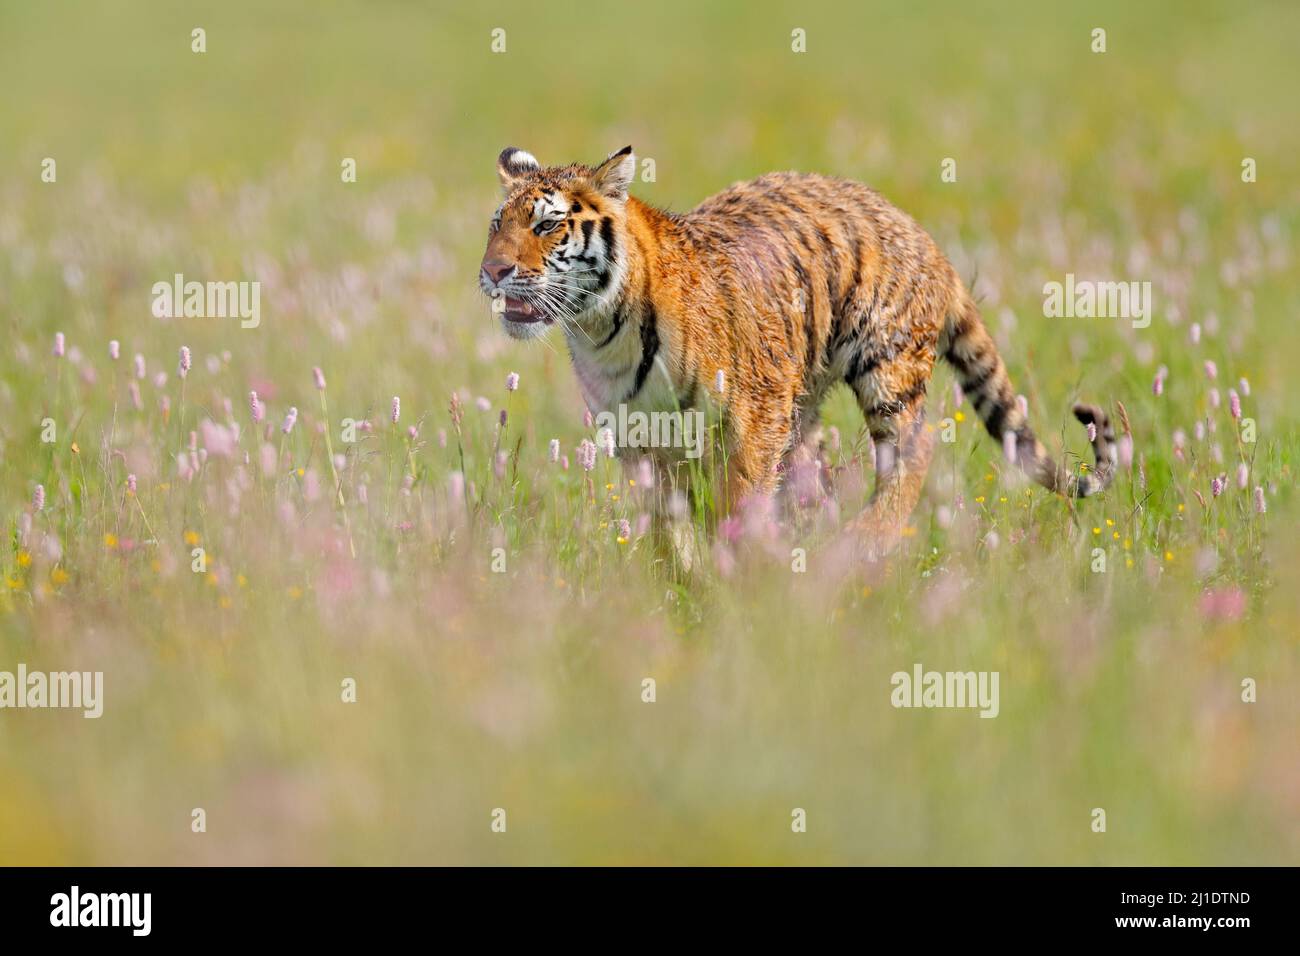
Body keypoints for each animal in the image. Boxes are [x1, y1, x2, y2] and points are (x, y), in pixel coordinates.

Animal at [478, 145, 1116, 554]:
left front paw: (734, 577)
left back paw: (865, 544)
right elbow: (666, 528)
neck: (603, 330)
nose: (492, 271)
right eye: (496, 224)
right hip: (802, 400)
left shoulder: (753, 417)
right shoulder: (639, 435)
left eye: (546, 226)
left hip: (885, 370)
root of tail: (922, 234)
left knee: (915, 451)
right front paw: (679, 589)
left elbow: (737, 503)